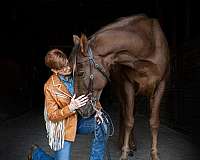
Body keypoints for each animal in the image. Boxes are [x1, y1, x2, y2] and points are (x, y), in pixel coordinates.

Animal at [69, 14, 170, 159]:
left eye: (80, 73)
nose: (80, 110)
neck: (146, 46)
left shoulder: (161, 85)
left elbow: (154, 122)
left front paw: (154, 154)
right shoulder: (128, 85)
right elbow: (128, 120)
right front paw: (124, 152)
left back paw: (132, 145)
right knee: (124, 112)